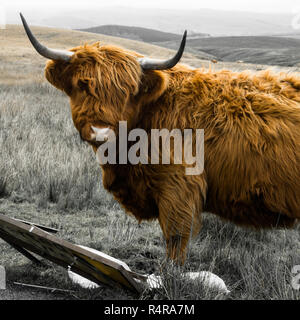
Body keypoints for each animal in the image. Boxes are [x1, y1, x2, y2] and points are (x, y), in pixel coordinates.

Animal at [20, 14, 300, 262]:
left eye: (129, 91)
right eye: (82, 84)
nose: (101, 131)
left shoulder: (179, 187)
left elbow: (175, 239)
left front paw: (169, 277)